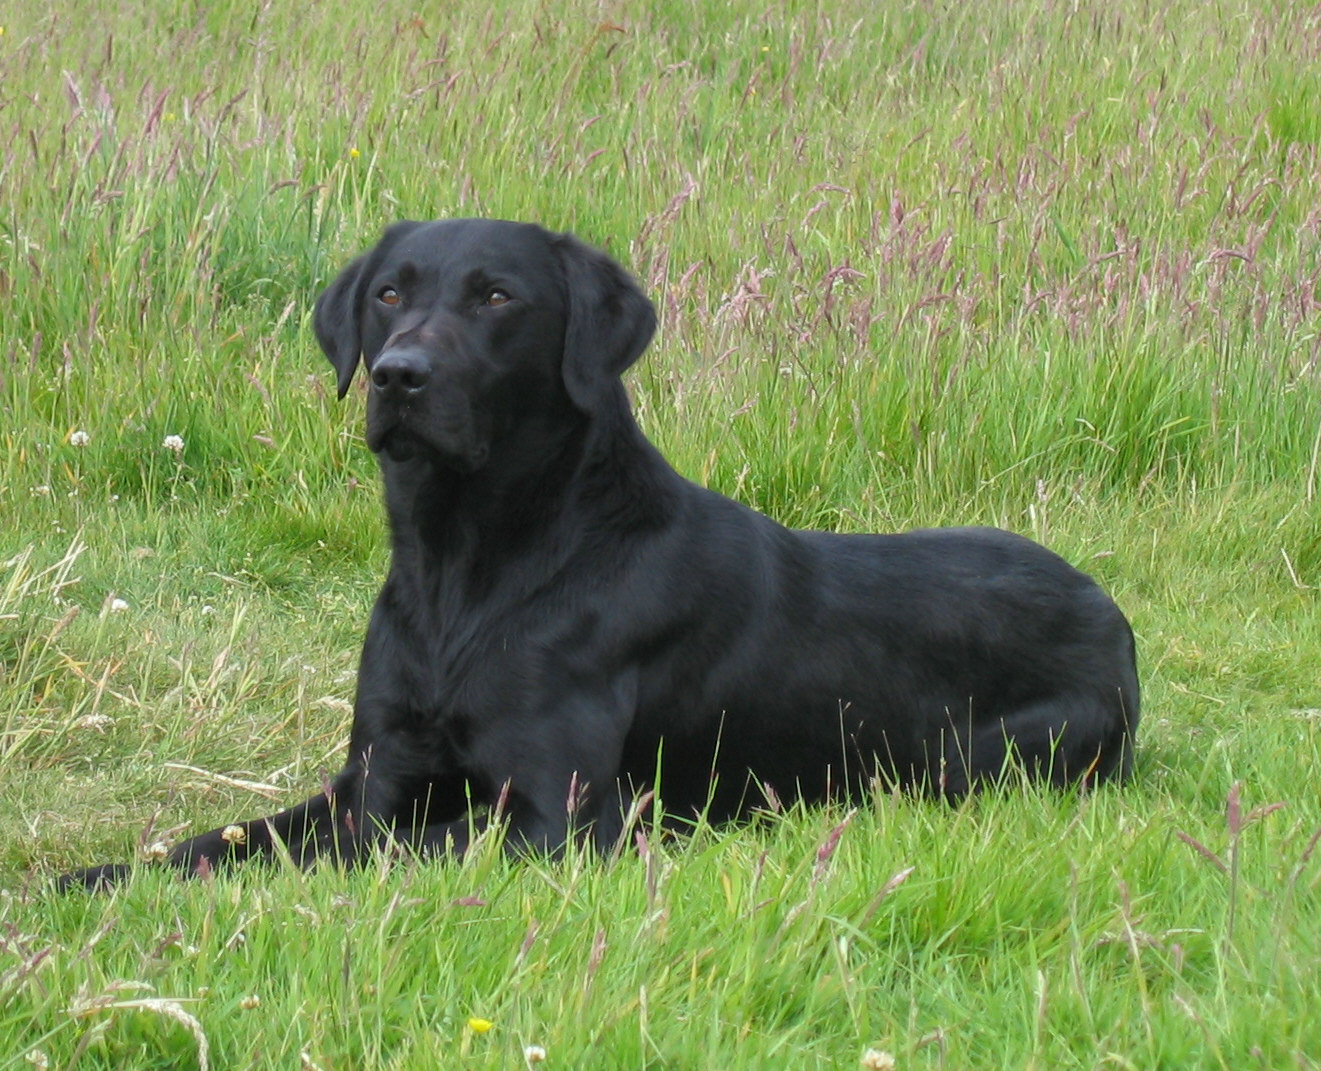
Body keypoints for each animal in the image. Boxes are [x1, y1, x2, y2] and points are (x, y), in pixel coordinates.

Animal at [59, 217, 1136, 887]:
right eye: (390, 294)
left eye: (496, 296)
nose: (399, 375)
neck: (465, 569)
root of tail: (1110, 611)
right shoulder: (374, 778)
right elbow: (227, 839)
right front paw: (94, 877)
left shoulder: (560, 817)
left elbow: (385, 851)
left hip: (973, 760)